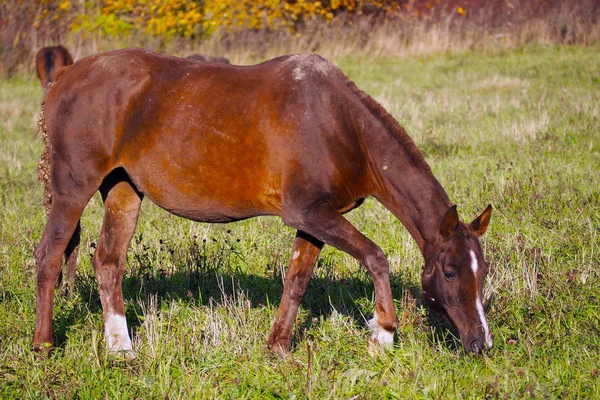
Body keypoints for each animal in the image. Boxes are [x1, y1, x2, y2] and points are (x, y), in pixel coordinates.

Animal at [31, 48, 492, 358]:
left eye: (482, 272)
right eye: (450, 273)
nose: (481, 343)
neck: (340, 124)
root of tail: (65, 75)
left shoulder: (314, 219)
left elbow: (297, 281)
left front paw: (280, 347)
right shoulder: (308, 212)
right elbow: (376, 256)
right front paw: (383, 332)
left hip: (123, 189)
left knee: (108, 261)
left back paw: (121, 348)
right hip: (73, 189)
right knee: (50, 255)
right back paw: (44, 344)